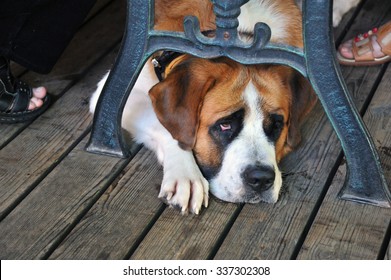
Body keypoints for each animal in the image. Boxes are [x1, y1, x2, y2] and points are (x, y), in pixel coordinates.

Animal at [91, 0, 318, 214]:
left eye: (277, 126)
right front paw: (186, 175)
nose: (261, 179)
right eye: (225, 125)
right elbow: (165, 127)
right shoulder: (118, 92)